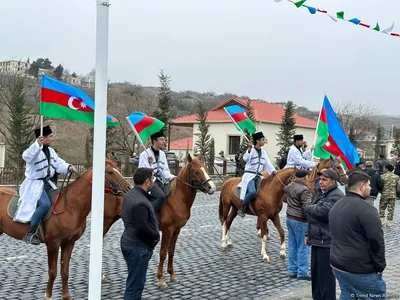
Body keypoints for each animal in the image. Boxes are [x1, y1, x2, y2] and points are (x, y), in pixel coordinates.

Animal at [0, 158, 133, 298]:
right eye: (110, 172)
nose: (129, 187)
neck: (70, 207)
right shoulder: (53, 244)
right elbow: (52, 272)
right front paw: (48, 296)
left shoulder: (69, 243)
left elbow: (65, 272)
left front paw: (66, 296)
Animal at [155, 155, 216, 288]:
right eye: (196, 171)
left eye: (206, 169)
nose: (212, 188)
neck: (176, 198)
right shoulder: (167, 230)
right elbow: (163, 253)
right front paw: (160, 278)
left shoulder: (177, 230)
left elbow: (171, 251)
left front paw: (172, 274)